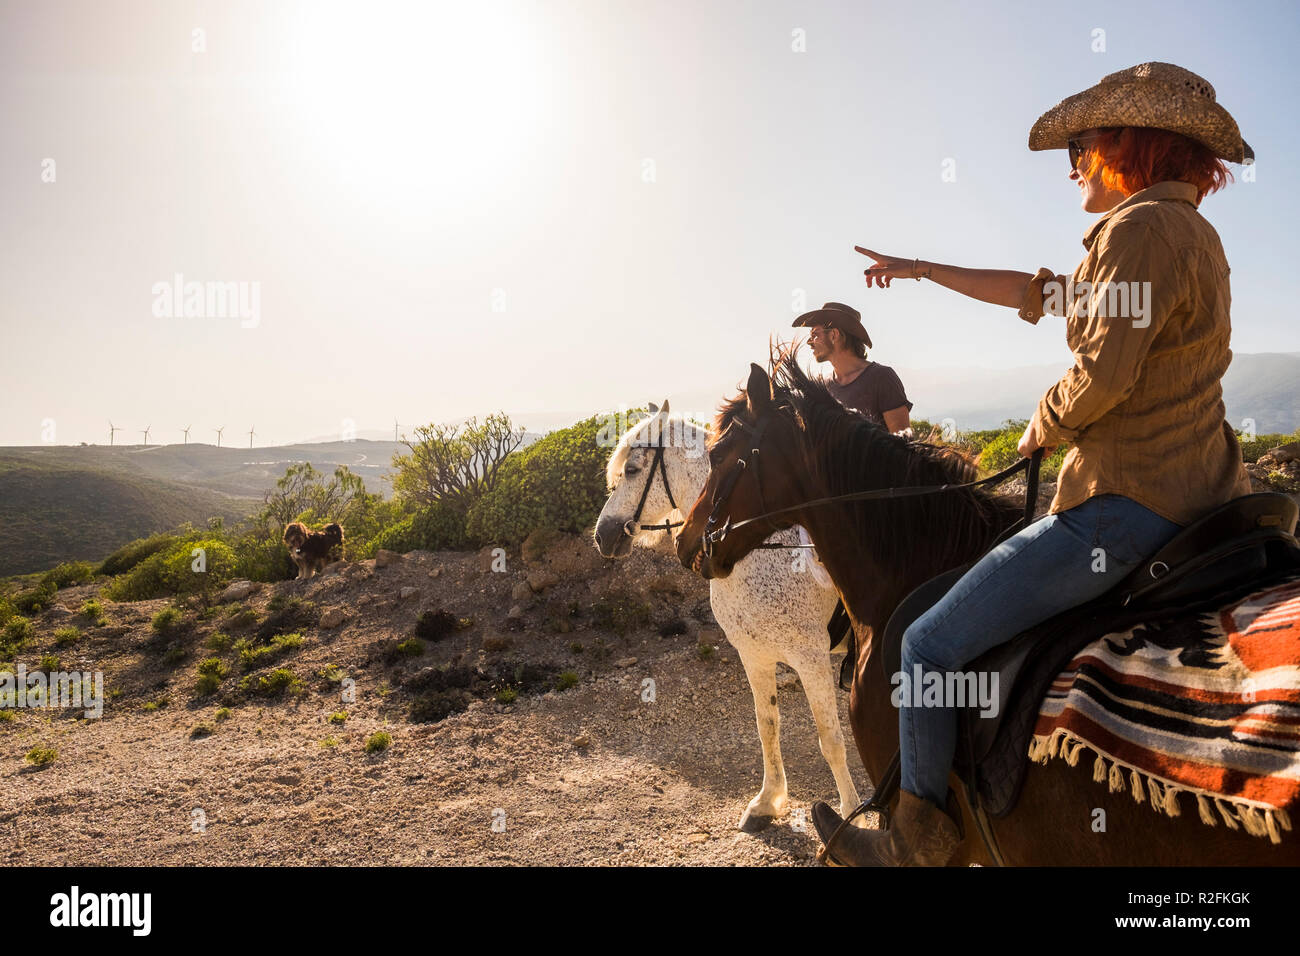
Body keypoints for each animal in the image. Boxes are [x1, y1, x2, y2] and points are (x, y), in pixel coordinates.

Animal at [592, 403, 863, 832]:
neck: (751, 545)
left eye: (632, 470)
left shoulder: (811, 658)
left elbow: (831, 740)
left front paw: (851, 816)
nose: (603, 535)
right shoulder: (754, 656)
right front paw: (767, 802)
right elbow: (767, 727)